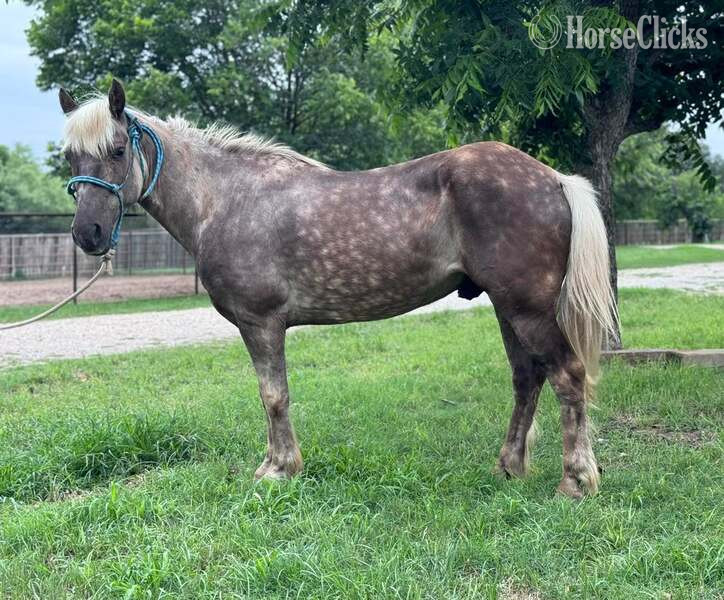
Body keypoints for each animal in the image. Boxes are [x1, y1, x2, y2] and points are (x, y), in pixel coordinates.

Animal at [58, 79, 617, 499]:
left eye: (116, 150)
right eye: (70, 157)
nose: (88, 234)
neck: (226, 199)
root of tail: (553, 178)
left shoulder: (261, 323)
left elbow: (273, 395)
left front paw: (278, 469)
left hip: (528, 309)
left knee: (567, 377)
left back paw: (575, 481)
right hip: (506, 308)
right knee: (527, 379)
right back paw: (509, 467)